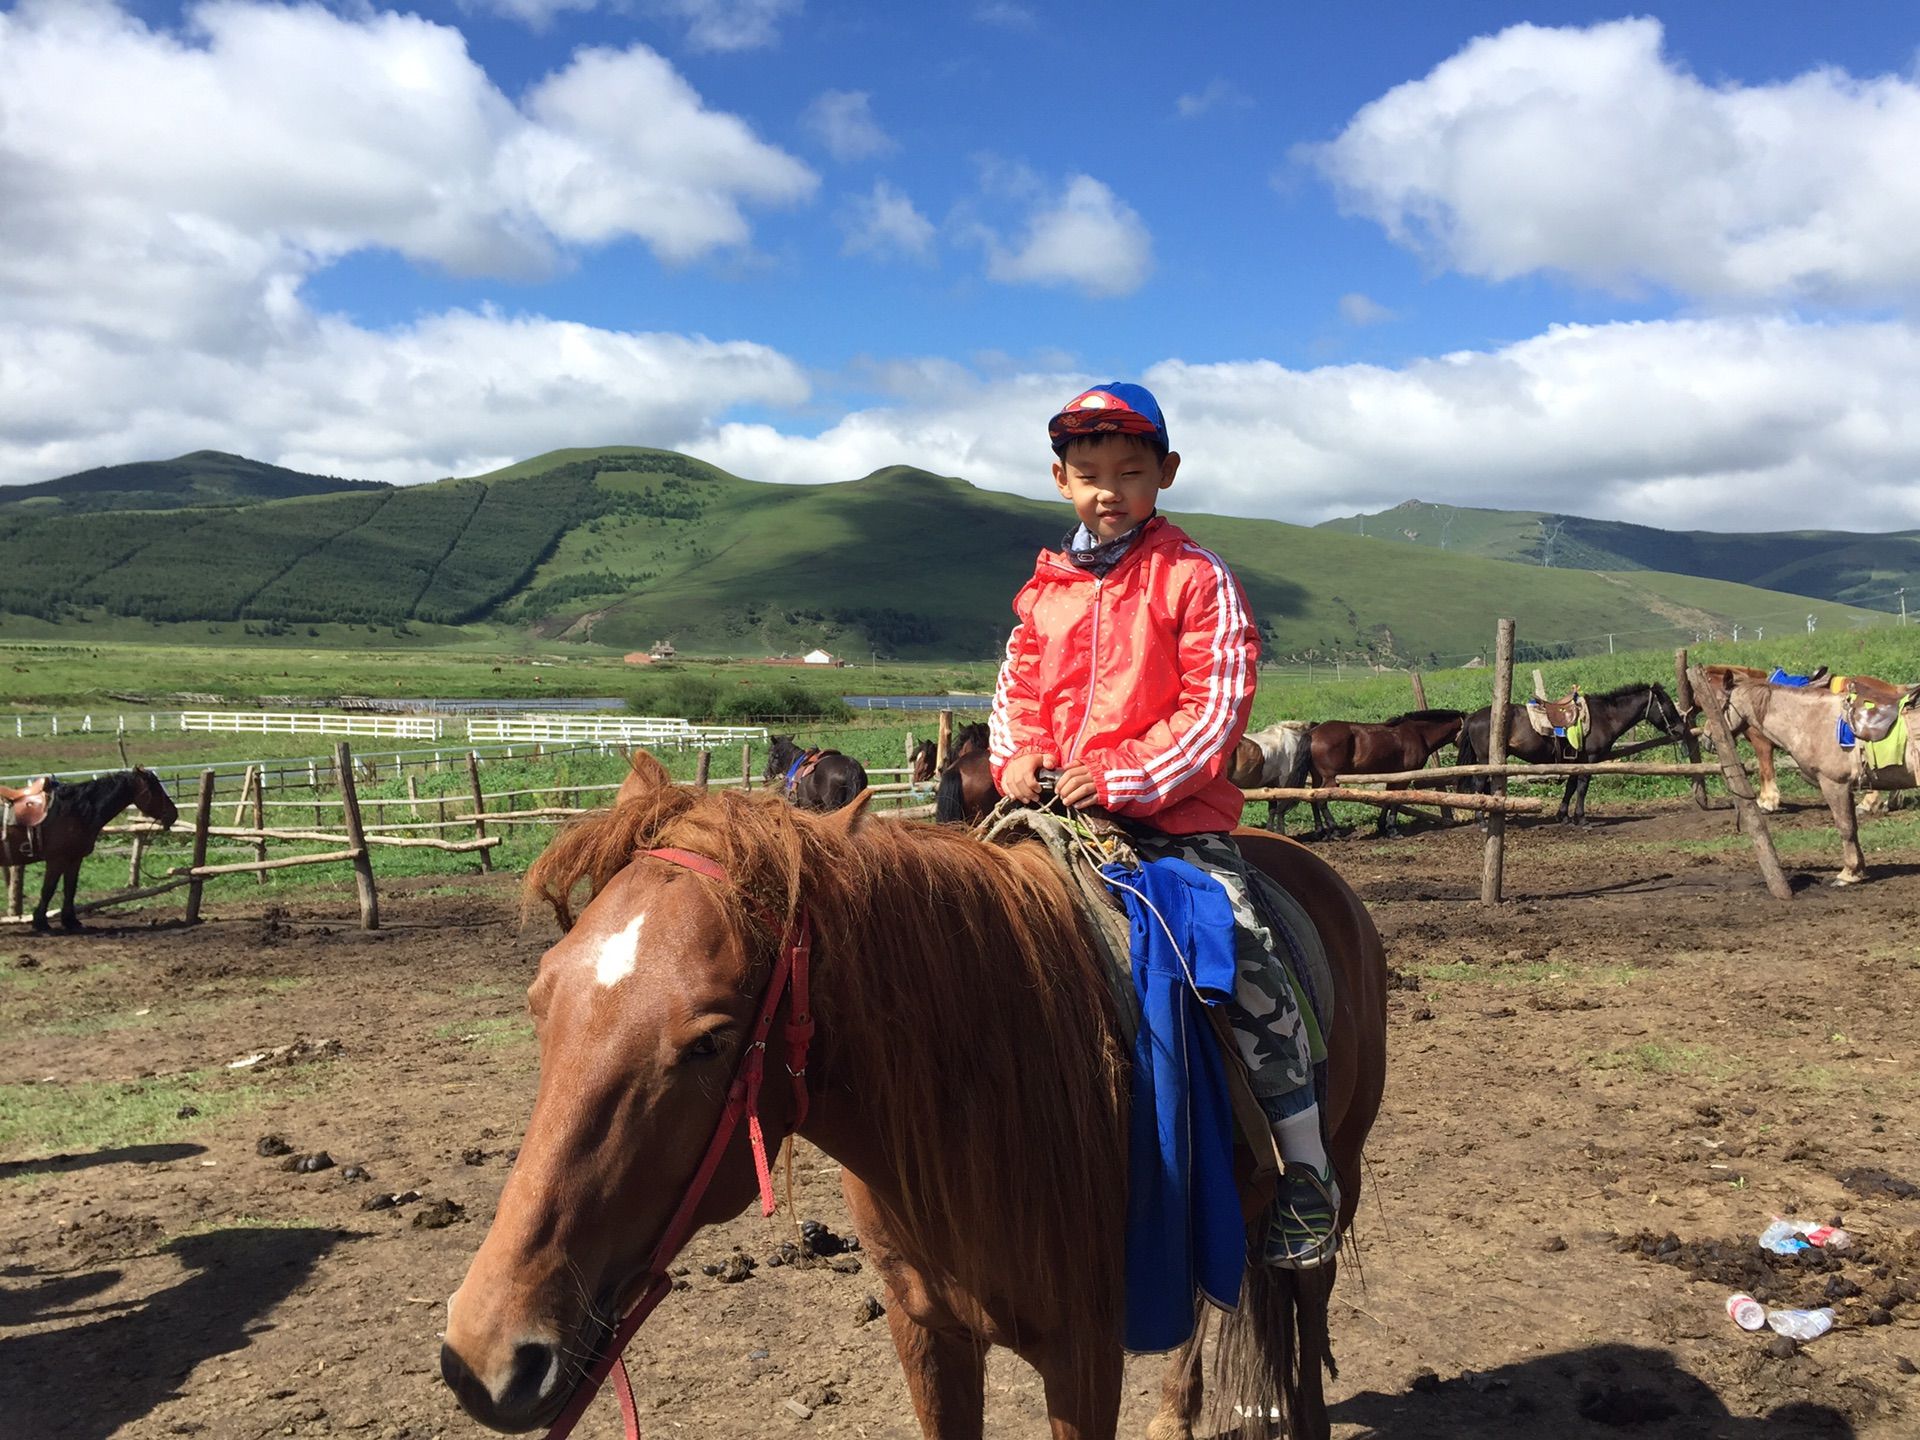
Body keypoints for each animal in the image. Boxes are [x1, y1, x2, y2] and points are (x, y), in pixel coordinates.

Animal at [1, 768, 180, 936]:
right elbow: (48, 890)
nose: (173, 814)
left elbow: (70, 889)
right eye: (155, 789)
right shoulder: (56, 860)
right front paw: (41, 924)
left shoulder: (74, 858)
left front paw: (71, 922)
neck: (73, 810)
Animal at [443, 756, 1390, 1440]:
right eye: (540, 998)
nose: (482, 1360)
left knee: (1307, 1299)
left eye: (710, 1040)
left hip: (1333, 1179)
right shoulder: (927, 1334)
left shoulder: (1083, 1355)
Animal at [1297, 714, 1459, 840]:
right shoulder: (1404, 778)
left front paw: (1382, 827)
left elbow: (1387, 798)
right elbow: (1396, 801)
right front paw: (1393, 831)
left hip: (1317, 777)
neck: (1418, 733)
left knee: (1312, 798)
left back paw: (1321, 832)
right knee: (1321, 800)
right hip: (1331, 779)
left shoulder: (1393, 776)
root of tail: (1313, 733)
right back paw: (1335, 831)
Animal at [1459, 683, 1689, 829]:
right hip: (1484, 760)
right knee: (1478, 784)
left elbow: (1570, 787)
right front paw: (1582, 819)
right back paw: (1482, 822)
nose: (1680, 729)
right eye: (1667, 704)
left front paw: (1563, 816)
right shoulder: (1590, 760)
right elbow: (1582, 788)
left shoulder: (1575, 761)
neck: (1604, 717)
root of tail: (1473, 717)